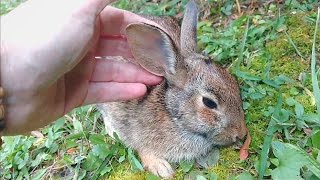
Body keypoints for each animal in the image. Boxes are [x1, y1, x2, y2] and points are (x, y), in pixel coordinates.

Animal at [99, 0, 248, 179]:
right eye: (209, 103)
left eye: (235, 84)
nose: (241, 133)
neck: (172, 114)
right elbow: (142, 149)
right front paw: (162, 169)